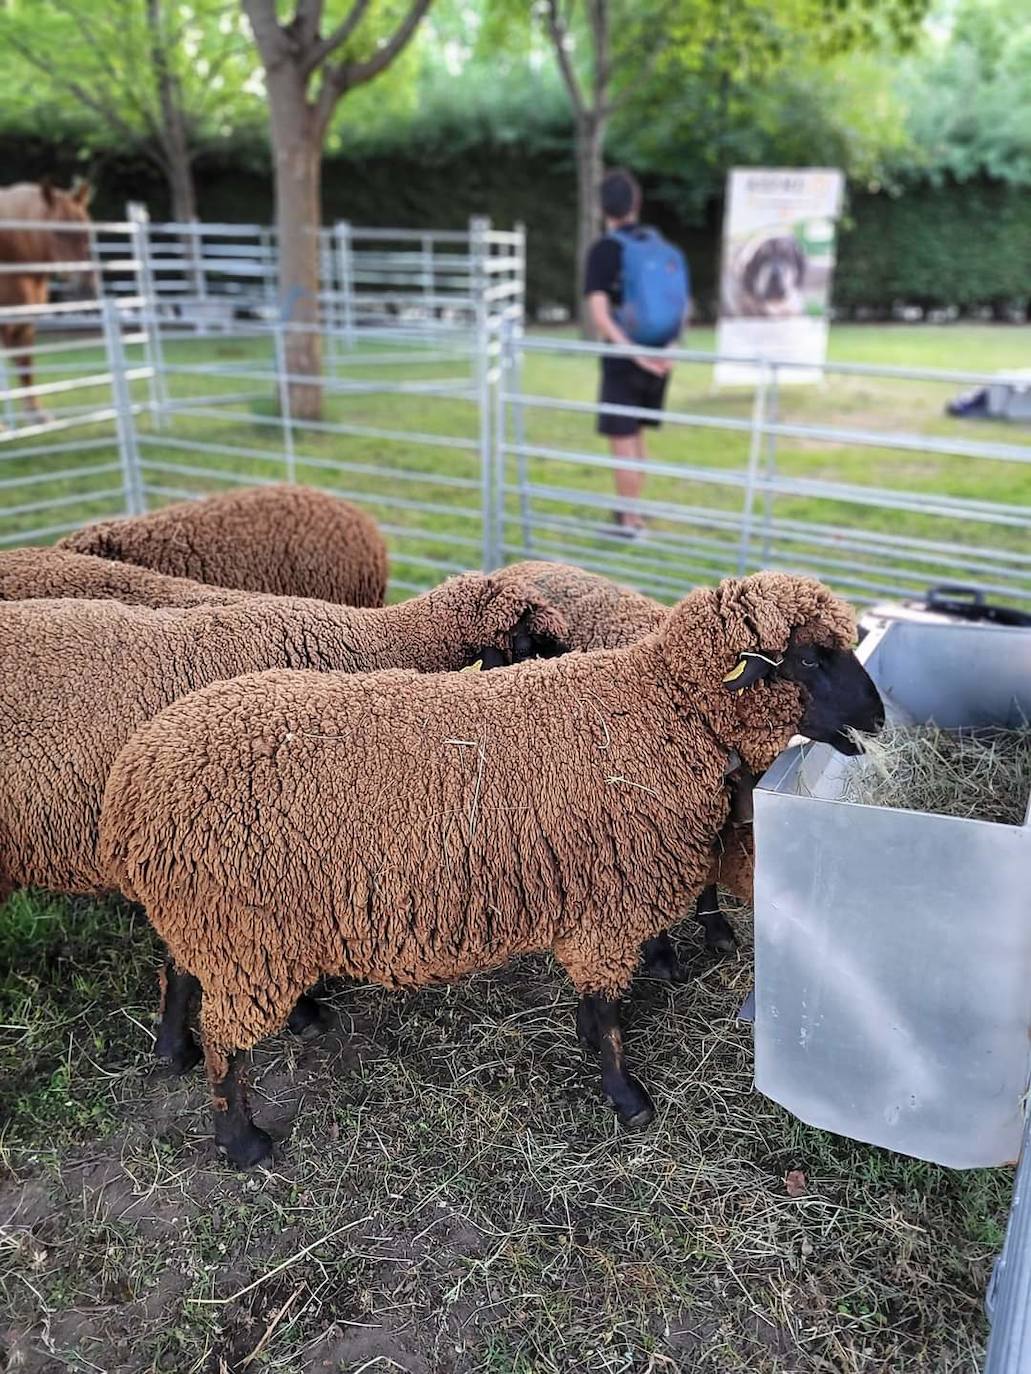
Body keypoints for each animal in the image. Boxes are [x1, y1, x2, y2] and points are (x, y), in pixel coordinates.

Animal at [0, 179, 96, 420]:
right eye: (56, 232)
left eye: (86, 229)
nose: (86, 287)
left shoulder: (25, 322)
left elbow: (26, 366)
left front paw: (36, 415)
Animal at [101, 574, 885, 1165]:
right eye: (811, 658)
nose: (879, 720)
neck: (664, 711)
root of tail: (136, 776)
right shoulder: (609, 901)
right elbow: (609, 1010)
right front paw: (627, 1097)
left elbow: (597, 1001)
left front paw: (592, 1043)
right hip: (243, 930)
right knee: (227, 1042)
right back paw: (242, 1141)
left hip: (215, 920)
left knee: (178, 971)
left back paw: (173, 1050)